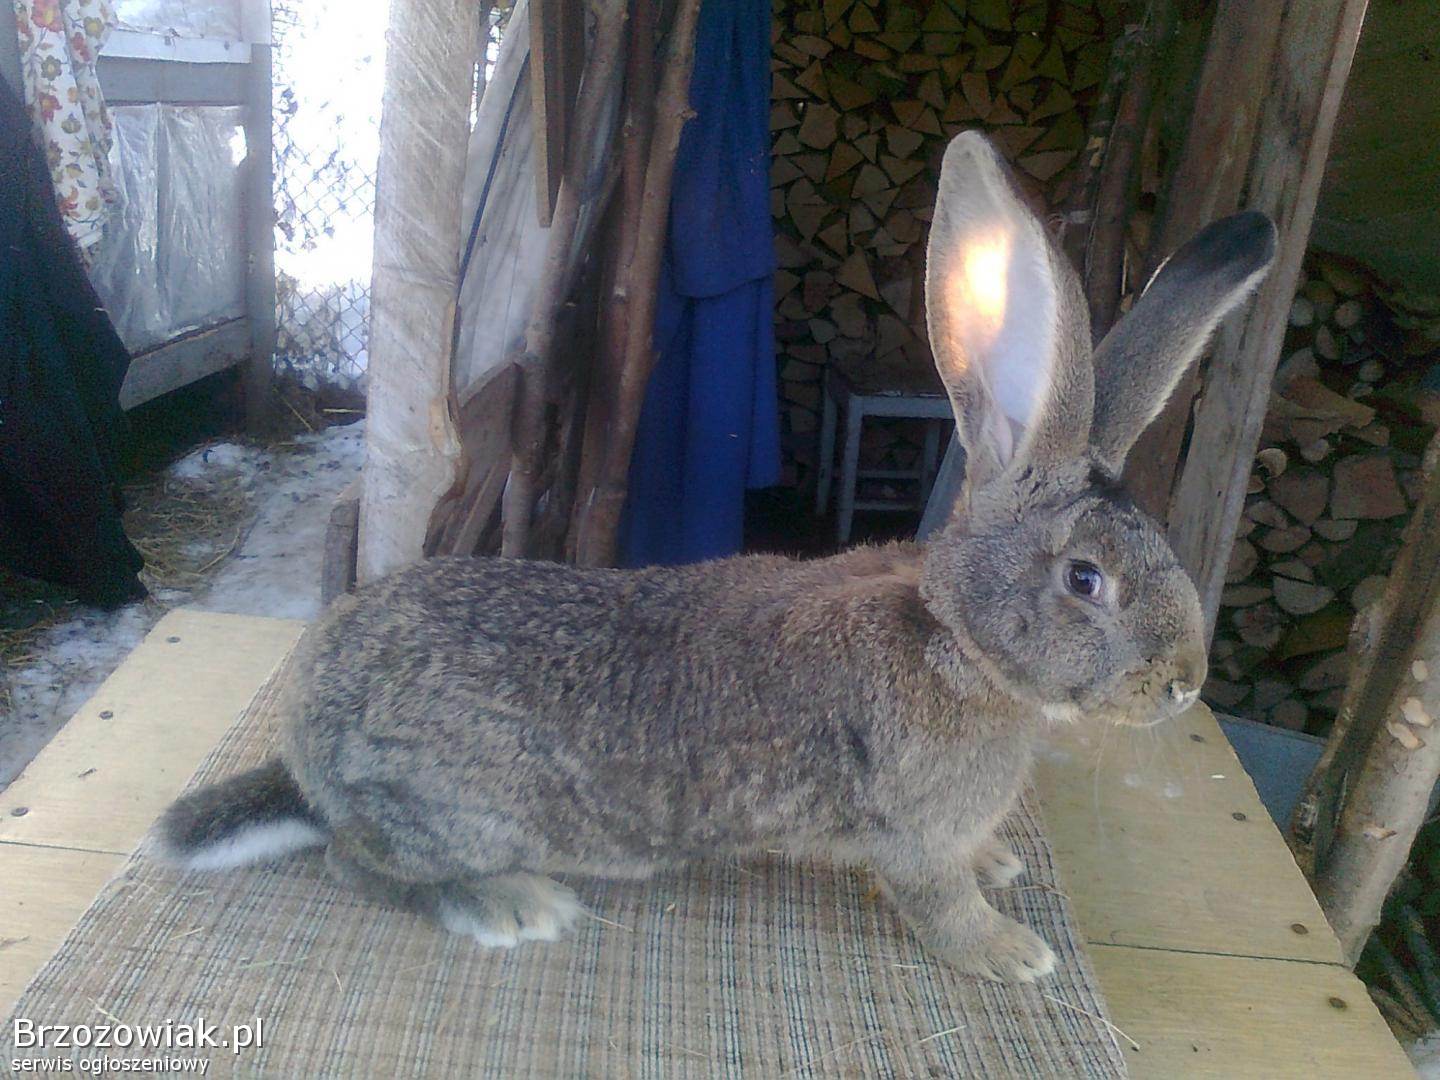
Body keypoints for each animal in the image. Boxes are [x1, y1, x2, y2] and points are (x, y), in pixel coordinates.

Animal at [159, 131, 1276, 983]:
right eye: (1087, 580)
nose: (1185, 683)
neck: (954, 638)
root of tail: (306, 748)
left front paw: (1002, 863)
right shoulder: (909, 836)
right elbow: (938, 901)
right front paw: (1010, 952)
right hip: (450, 811)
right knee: (362, 866)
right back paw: (512, 907)